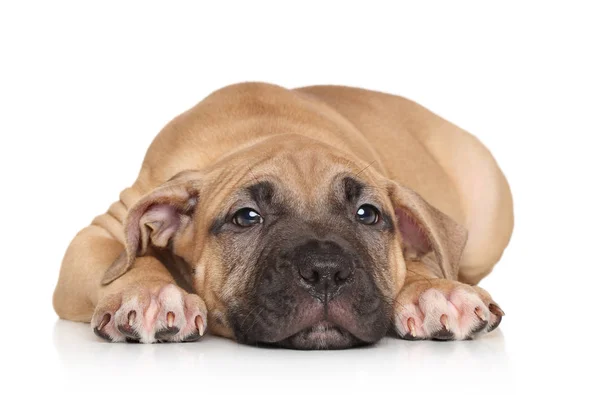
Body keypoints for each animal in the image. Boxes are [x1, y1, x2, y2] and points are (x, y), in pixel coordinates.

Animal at [52, 83, 510, 350]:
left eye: (367, 214)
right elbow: (125, 261)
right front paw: (149, 293)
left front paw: (433, 290)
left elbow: (415, 262)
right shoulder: (103, 229)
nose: (326, 272)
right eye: (246, 217)